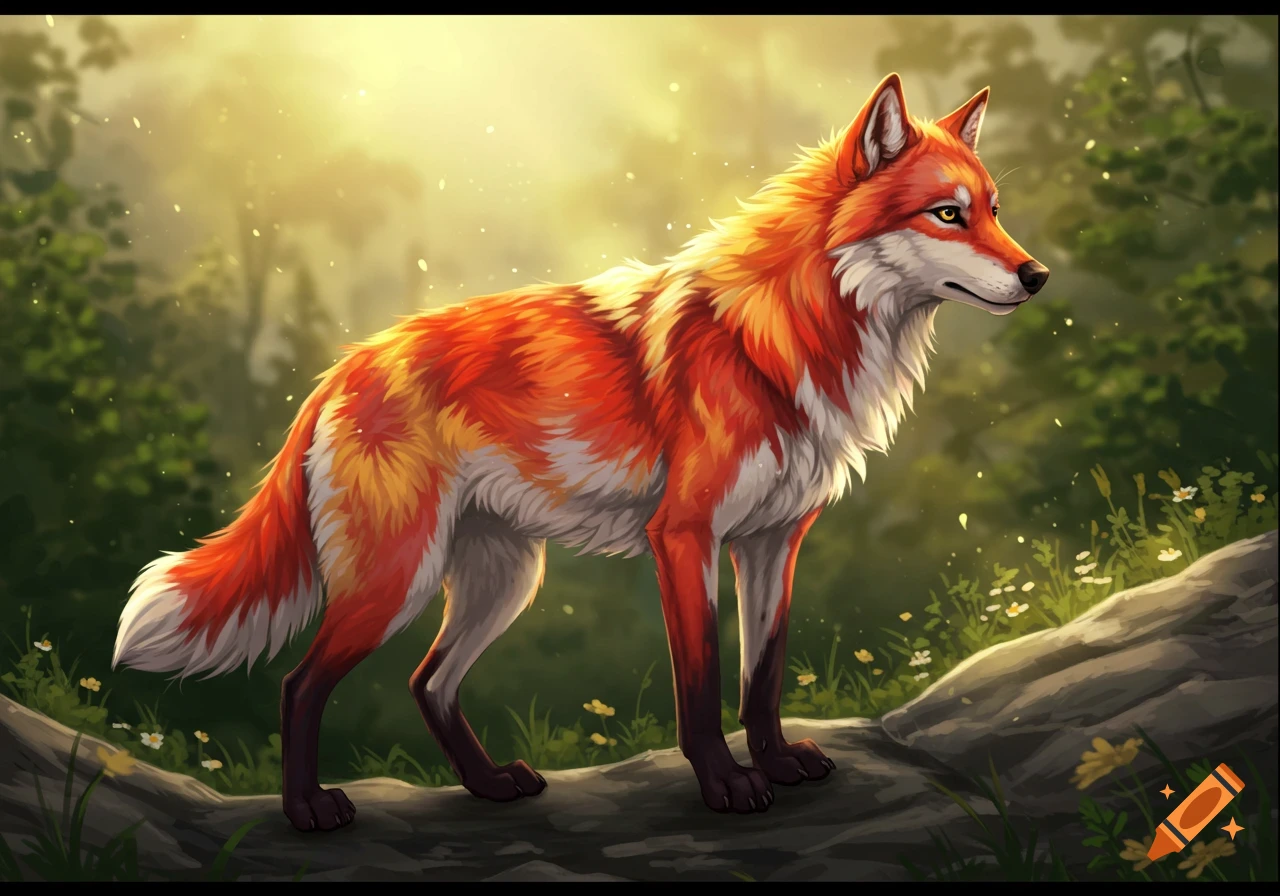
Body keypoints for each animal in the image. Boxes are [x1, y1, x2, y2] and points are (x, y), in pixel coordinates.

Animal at [113, 73, 1048, 830]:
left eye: (996, 210)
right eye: (948, 214)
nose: (1037, 277)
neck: (777, 339)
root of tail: (346, 363)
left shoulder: (773, 542)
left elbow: (763, 678)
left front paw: (779, 763)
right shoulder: (685, 537)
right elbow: (703, 686)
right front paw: (727, 788)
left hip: (502, 578)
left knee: (427, 683)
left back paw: (488, 786)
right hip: (397, 577)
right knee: (301, 684)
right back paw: (308, 809)